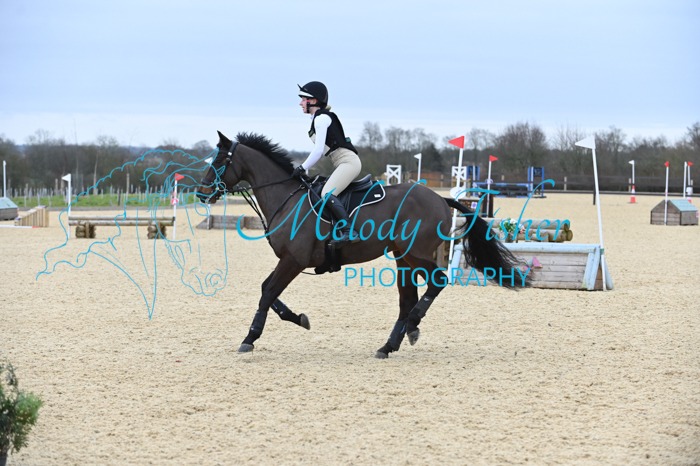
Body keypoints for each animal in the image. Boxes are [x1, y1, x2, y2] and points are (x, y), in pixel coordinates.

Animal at [196, 131, 529, 358]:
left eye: (220, 161)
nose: (201, 194)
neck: (285, 197)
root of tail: (439, 198)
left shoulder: (293, 260)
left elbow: (267, 293)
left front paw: (250, 338)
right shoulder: (289, 261)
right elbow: (269, 291)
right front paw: (300, 319)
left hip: (415, 253)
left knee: (437, 282)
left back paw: (412, 325)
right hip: (402, 258)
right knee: (407, 300)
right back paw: (390, 344)